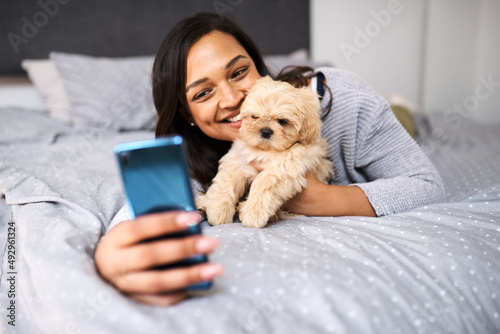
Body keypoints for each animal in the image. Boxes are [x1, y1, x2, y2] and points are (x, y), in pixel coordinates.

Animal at [197, 75, 334, 227]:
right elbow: (227, 182)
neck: (266, 151)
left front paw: (253, 213)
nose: (266, 131)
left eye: (282, 121)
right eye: (254, 117)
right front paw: (218, 210)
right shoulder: (237, 158)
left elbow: (263, 183)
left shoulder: (285, 168)